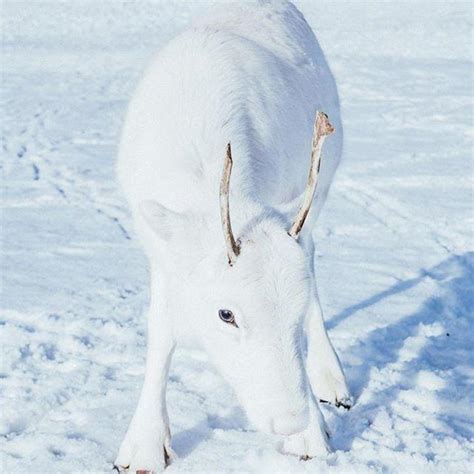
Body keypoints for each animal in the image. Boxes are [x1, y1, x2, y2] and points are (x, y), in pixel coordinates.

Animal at [115, 1, 352, 472]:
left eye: (296, 306)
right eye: (226, 314)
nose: (289, 420)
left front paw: (312, 435)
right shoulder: (162, 250)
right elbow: (161, 331)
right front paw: (144, 445)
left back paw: (331, 379)